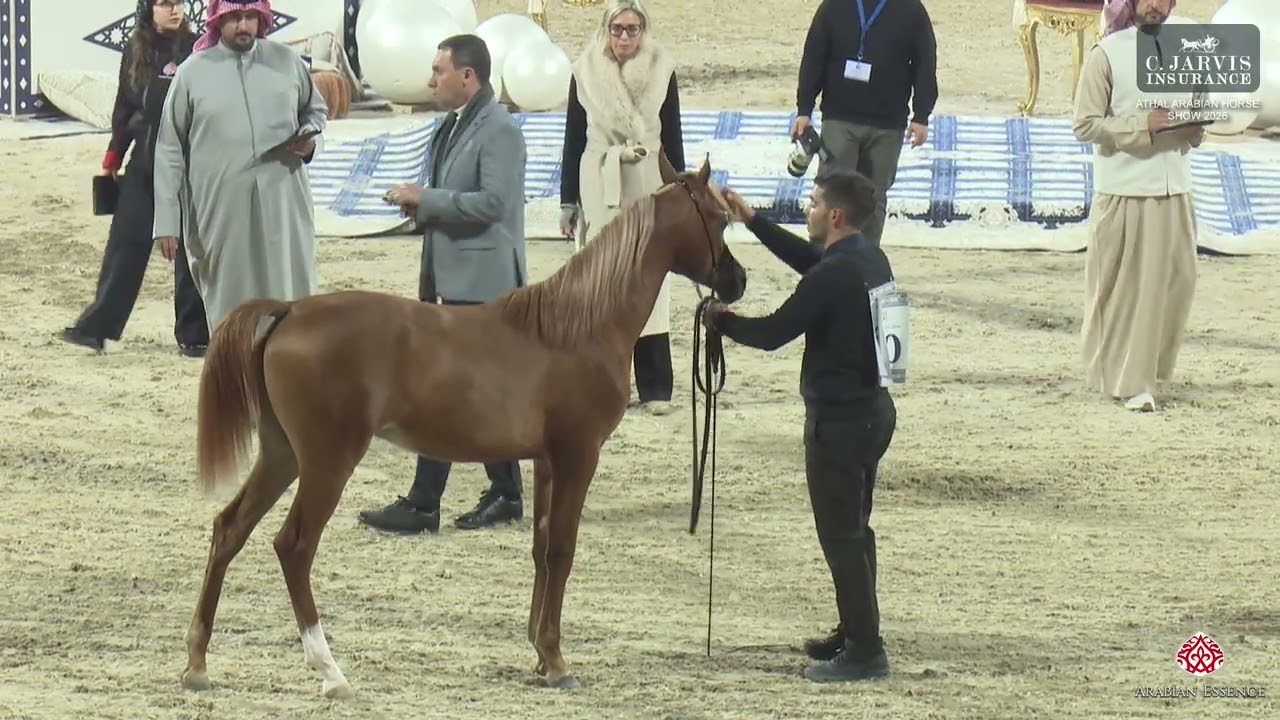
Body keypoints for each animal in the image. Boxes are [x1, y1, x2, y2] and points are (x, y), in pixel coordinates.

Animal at [179, 154, 748, 698]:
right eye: (719, 218)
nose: (738, 280)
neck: (577, 327)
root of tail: (289, 310)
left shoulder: (546, 460)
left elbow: (541, 549)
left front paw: (539, 654)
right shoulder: (578, 455)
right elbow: (562, 551)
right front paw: (557, 662)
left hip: (282, 455)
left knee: (228, 530)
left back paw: (197, 665)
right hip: (326, 462)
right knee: (294, 547)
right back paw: (330, 672)